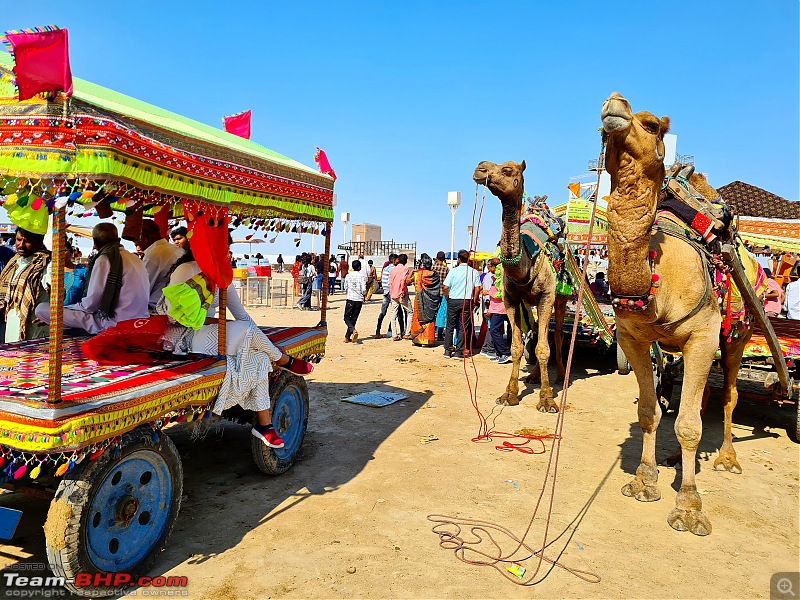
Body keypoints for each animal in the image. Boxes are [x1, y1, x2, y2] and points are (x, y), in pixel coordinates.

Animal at [468, 161, 568, 412]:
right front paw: (509, 394)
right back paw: (533, 376)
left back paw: (561, 376)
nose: (480, 168)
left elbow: (543, 348)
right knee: (540, 332)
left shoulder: (546, 296)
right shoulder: (511, 299)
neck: (524, 264)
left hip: (560, 297)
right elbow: (517, 347)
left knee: (558, 334)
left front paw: (547, 400)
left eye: (507, 170)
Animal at [604, 92, 752, 536]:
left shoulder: (702, 336)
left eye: (652, 125)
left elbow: (688, 426)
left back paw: (727, 460)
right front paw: (644, 480)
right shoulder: (632, 338)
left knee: (728, 395)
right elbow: (649, 412)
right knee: (695, 397)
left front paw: (688, 506)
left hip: (736, 336)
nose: (613, 104)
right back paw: (673, 462)